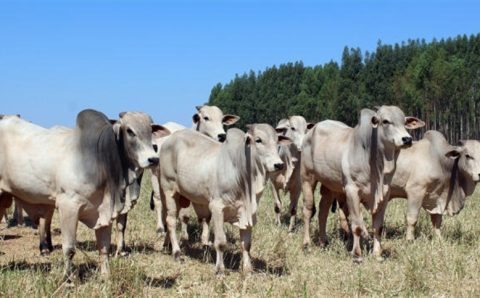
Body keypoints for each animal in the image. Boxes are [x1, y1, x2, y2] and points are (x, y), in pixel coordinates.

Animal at [159, 124, 290, 274]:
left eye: (277, 141)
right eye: (258, 140)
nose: (279, 164)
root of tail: (169, 139)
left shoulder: (247, 212)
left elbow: (246, 244)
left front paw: (248, 269)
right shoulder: (217, 208)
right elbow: (221, 242)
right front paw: (220, 269)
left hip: (181, 196)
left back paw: (167, 245)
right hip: (169, 190)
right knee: (171, 221)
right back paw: (176, 253)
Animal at [302, 106, 422, 260]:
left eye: (404, 122)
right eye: (385, 121)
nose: (407, 139)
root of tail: (313, 129)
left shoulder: (384, 195)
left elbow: (378, 227)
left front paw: (377, 254)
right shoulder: (351, 191)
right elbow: (357, 225)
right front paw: (357, 254)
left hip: (330, 185)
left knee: (323, 210)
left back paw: (324, 242)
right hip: (307, 178)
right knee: (308, 209)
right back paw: (307, 243)